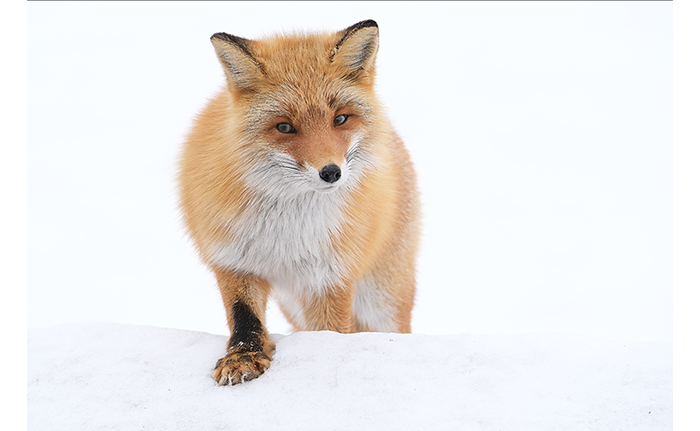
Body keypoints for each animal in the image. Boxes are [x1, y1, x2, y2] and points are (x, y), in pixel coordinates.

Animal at [178, 20, 421, 385]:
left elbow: (330, 332)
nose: (331, 172)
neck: (287, 231)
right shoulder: (234, 261)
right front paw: (242, 358)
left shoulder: (331, 276)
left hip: (382, 301)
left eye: (340, 119)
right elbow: (245, 319)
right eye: (284, 127)